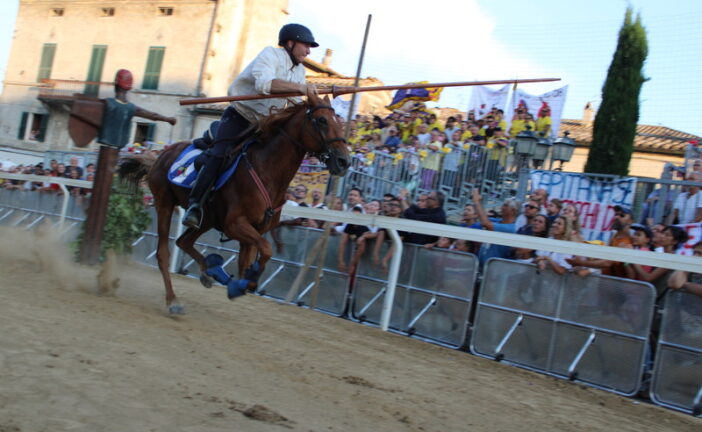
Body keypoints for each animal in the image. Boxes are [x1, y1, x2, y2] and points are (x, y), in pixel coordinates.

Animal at [119, 93, 352, 312]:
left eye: (339, 121)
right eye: (321, 120)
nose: (344, 161)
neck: (266, 171)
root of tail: (160, 154)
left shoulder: (254, 230)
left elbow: (249, 263)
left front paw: (241, 281)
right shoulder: (235, 224)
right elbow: (266, 249)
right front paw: (247, 279)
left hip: (206, 219)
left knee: (184, 242)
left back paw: (211, 271)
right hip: (165, 204)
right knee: (163, 253)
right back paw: (173, 300)